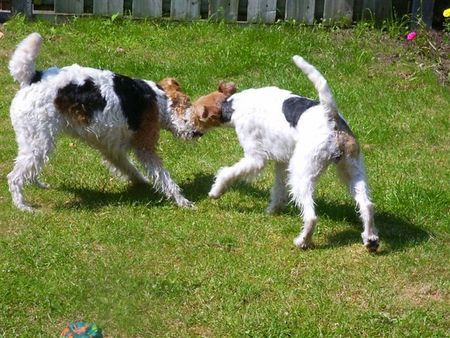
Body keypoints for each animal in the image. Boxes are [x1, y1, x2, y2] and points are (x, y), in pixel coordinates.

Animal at [6, 32, 200, 211]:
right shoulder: (145, 148)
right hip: (38, 142)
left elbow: (130, 168)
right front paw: (184, 202)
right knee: (14, 177)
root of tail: (33, 78)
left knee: (29, 171)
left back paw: (40, 185)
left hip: (34, 142)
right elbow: (164, 177)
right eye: (188, 107)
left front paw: (142, 183)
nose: (197, 133)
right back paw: (23, 207)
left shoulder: (112, 150)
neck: (159, 99)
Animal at [191, 54, 380, 251]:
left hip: (302, 174)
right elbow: (278, 188)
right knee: (367, 205)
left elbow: (228, 172)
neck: (232, 105)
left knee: (311, 216)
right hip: (352, 169)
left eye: (194, 113)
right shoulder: (282, 160)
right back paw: (371, 240)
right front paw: (273, 209)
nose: (190, 129)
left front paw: (216, 191)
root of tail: (331, 117)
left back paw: (302, 241)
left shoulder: (255, 158)